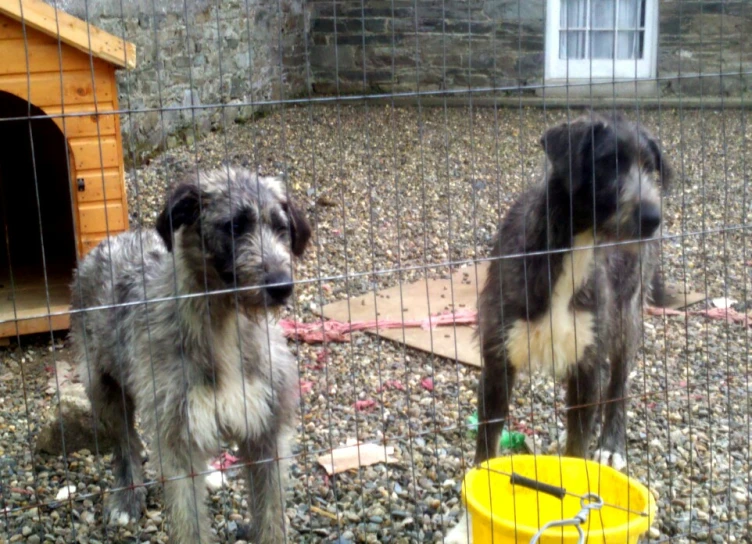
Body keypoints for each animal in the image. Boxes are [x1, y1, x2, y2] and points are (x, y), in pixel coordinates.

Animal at [67, 168, 308, 540]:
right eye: (234, 226)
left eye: (281, 226)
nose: (282, 286)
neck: (224, 325)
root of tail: (110, 241)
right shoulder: (177, 438)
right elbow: (189, 522)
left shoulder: (266, 432)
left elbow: (271, 517)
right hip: (102, 387)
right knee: (126, 445)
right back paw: (126, 498)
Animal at [472, 112, 672, 470]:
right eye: (608, 163)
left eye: (651, 168)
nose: (653, 218)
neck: (574, 248)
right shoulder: (498, 360)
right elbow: (487, 444)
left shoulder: (587, 365)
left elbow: (578, 447)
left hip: (626, 317)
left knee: (619, 382)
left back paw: (611, 444)